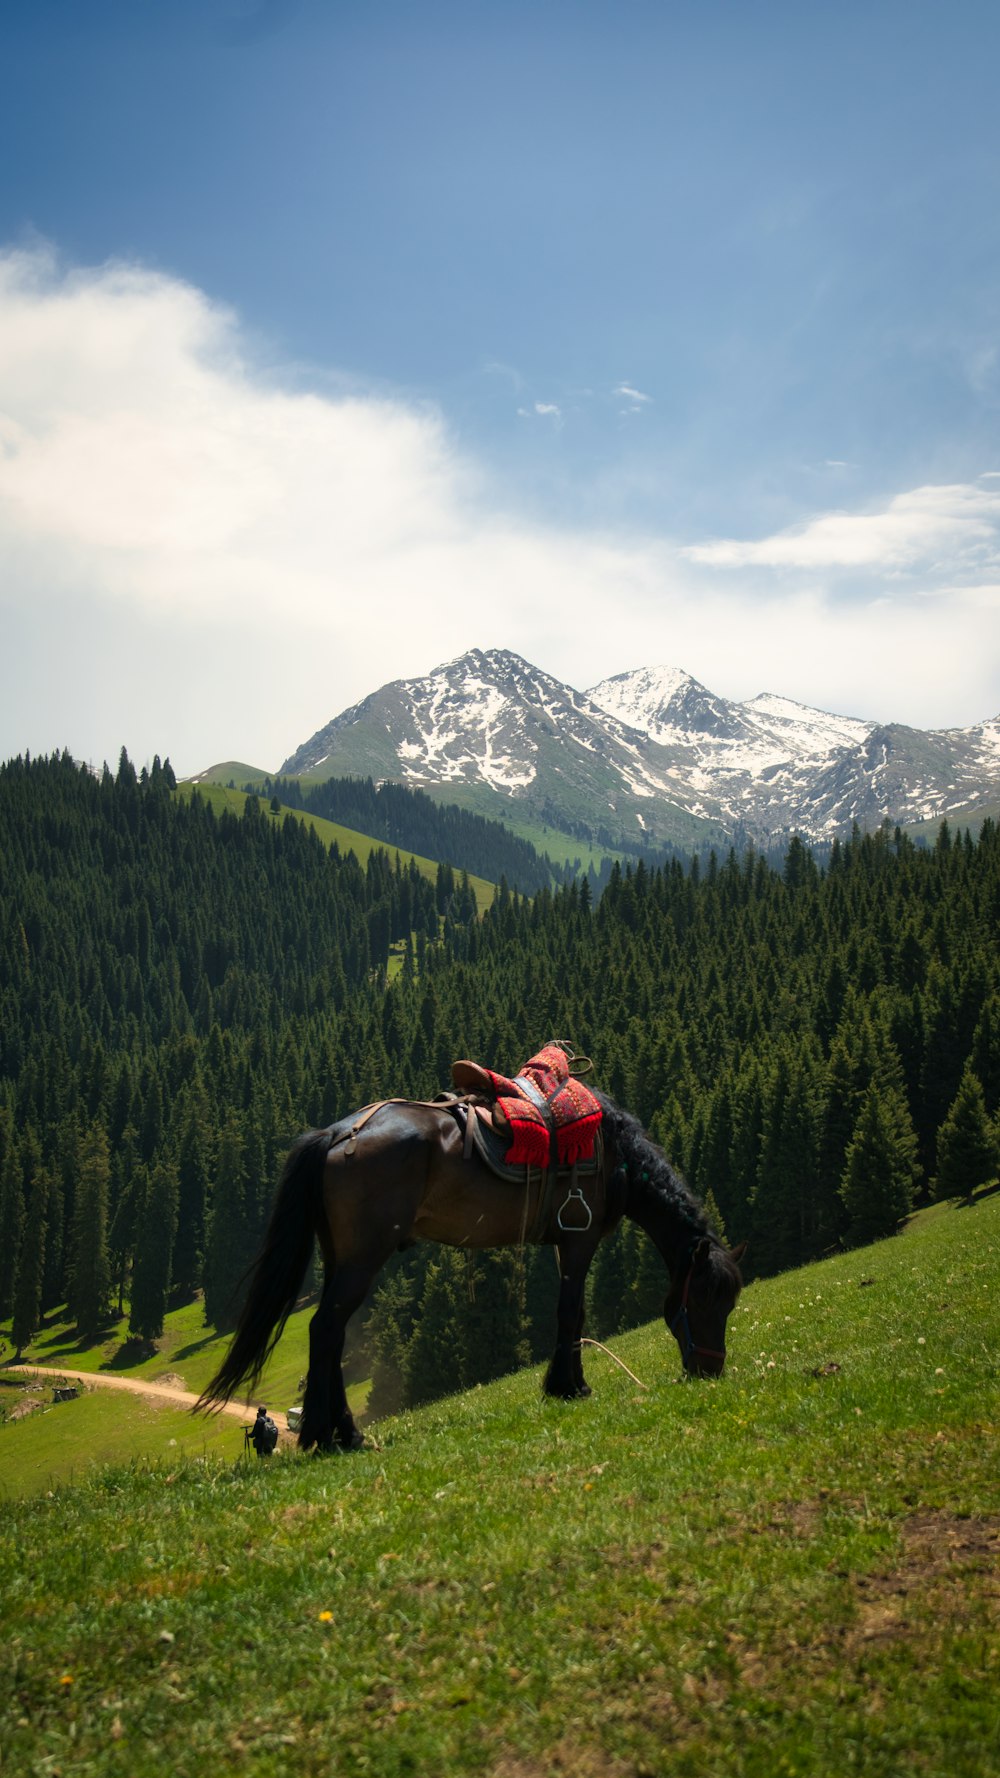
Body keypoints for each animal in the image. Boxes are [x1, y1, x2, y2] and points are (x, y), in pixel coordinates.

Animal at [196, 1081, 740, 1443]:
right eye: (704, 1299)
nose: (710, 1369)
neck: (612, 1152)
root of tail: (339, 1133)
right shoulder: (578, 1240)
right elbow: (571, 1313)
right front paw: (570, 1387)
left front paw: (564, 1384)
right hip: (362, 1259)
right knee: (327, 1328)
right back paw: (331, 1434)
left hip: (340, 1258)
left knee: (328, 1332)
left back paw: (334, 1431)